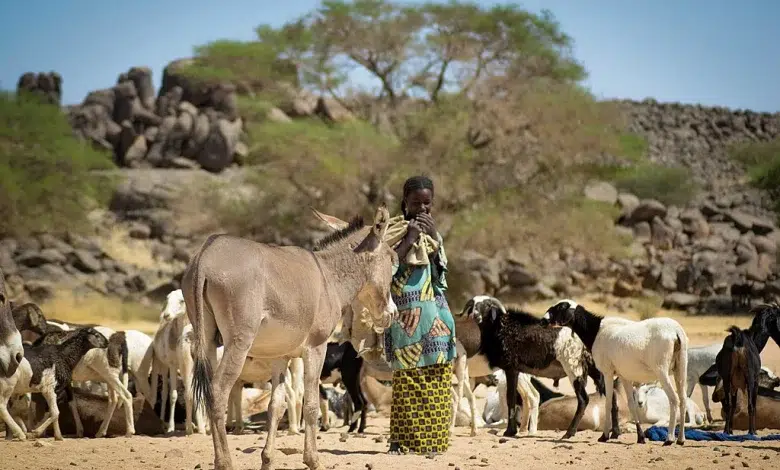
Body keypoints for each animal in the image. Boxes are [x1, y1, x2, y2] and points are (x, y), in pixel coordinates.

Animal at [460, 296, 620, 438]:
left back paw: (569, 433)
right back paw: (615, 433)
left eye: (486, 305)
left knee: (583, 399)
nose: (475, 316)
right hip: (596, 369)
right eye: (473, 305)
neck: (501, 328)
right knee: (611, 396)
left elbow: (510, 398)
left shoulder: (511, 368)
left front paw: (510, 432)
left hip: (574, 368)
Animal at [544, 300, 688, 446]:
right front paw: (640, 437)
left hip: (662, 370)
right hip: (680, 368)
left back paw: (669, 439)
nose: (544, 320)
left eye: (561, 307)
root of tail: (676, 331)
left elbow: (608, 402)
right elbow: (631, 404)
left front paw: (604, 436)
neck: (596, 330)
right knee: (683, 399)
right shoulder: (624, 376)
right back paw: (681, 439)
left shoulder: (607, 372)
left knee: (674, 399)